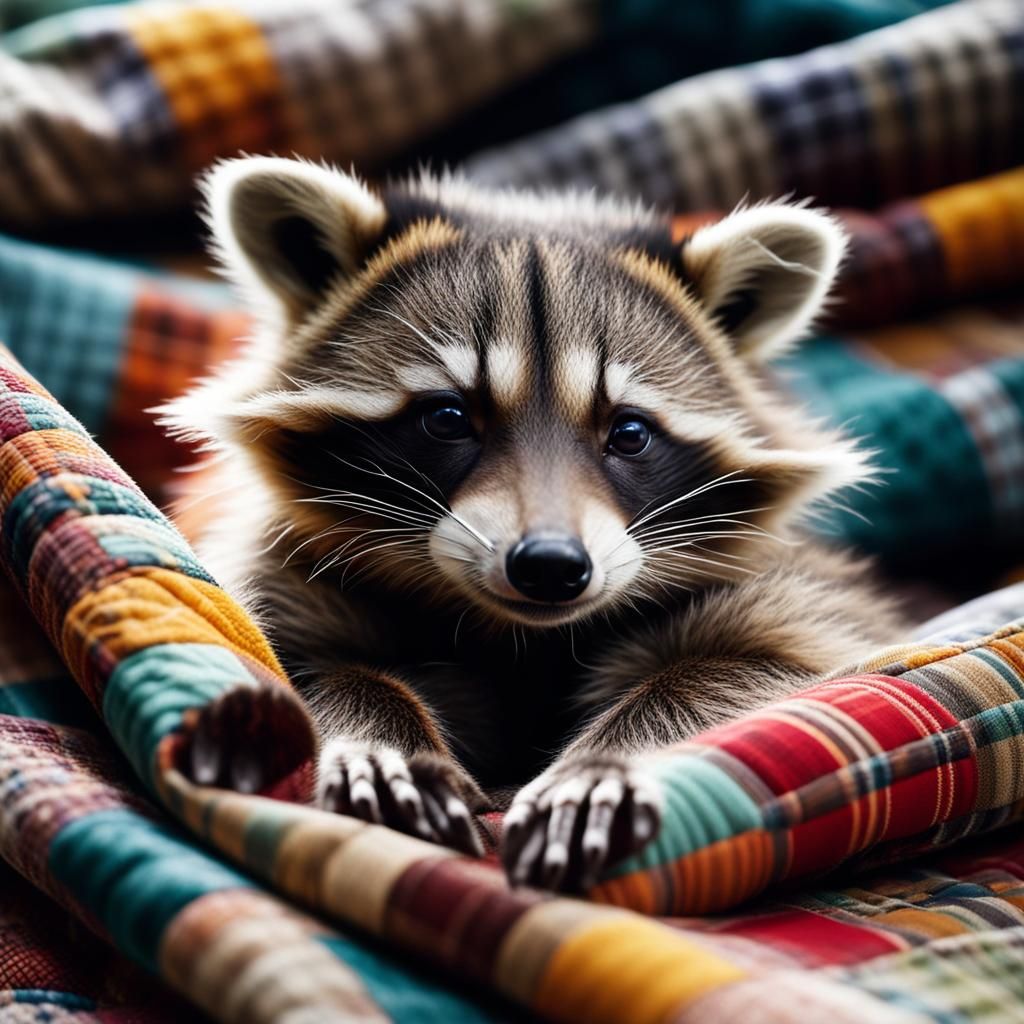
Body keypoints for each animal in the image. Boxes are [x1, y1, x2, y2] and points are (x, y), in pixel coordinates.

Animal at [164, 157, 904, 893]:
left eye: (629, 433)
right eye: (448, 418)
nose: (551, 565)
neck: (517, 633)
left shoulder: (797, 591)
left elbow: (760, 667)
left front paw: (607, 764)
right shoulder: (278, 562)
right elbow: (296, 662)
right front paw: (378, 732)